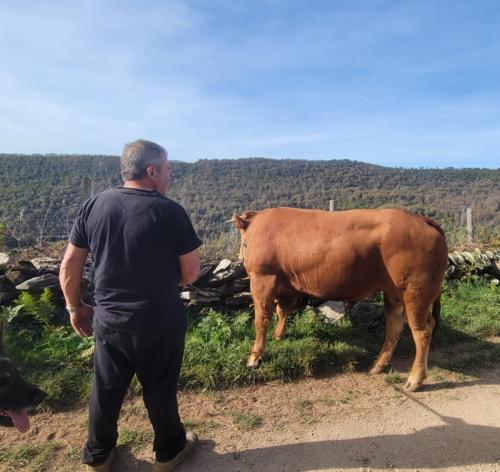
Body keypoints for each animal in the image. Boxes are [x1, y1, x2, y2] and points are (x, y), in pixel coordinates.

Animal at [234, 206, 450, 390]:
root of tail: (418, 218)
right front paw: (278, 337)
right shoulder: (286, 288)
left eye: (243, 241)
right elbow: (282, 312)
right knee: (395, 326)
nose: (239, 256)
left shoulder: (262, 280)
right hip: (394, 293)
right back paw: (377, 366)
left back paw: (414, 380)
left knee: (422, 332)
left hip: (415, 294)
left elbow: (261, 320)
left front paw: (254, 358)